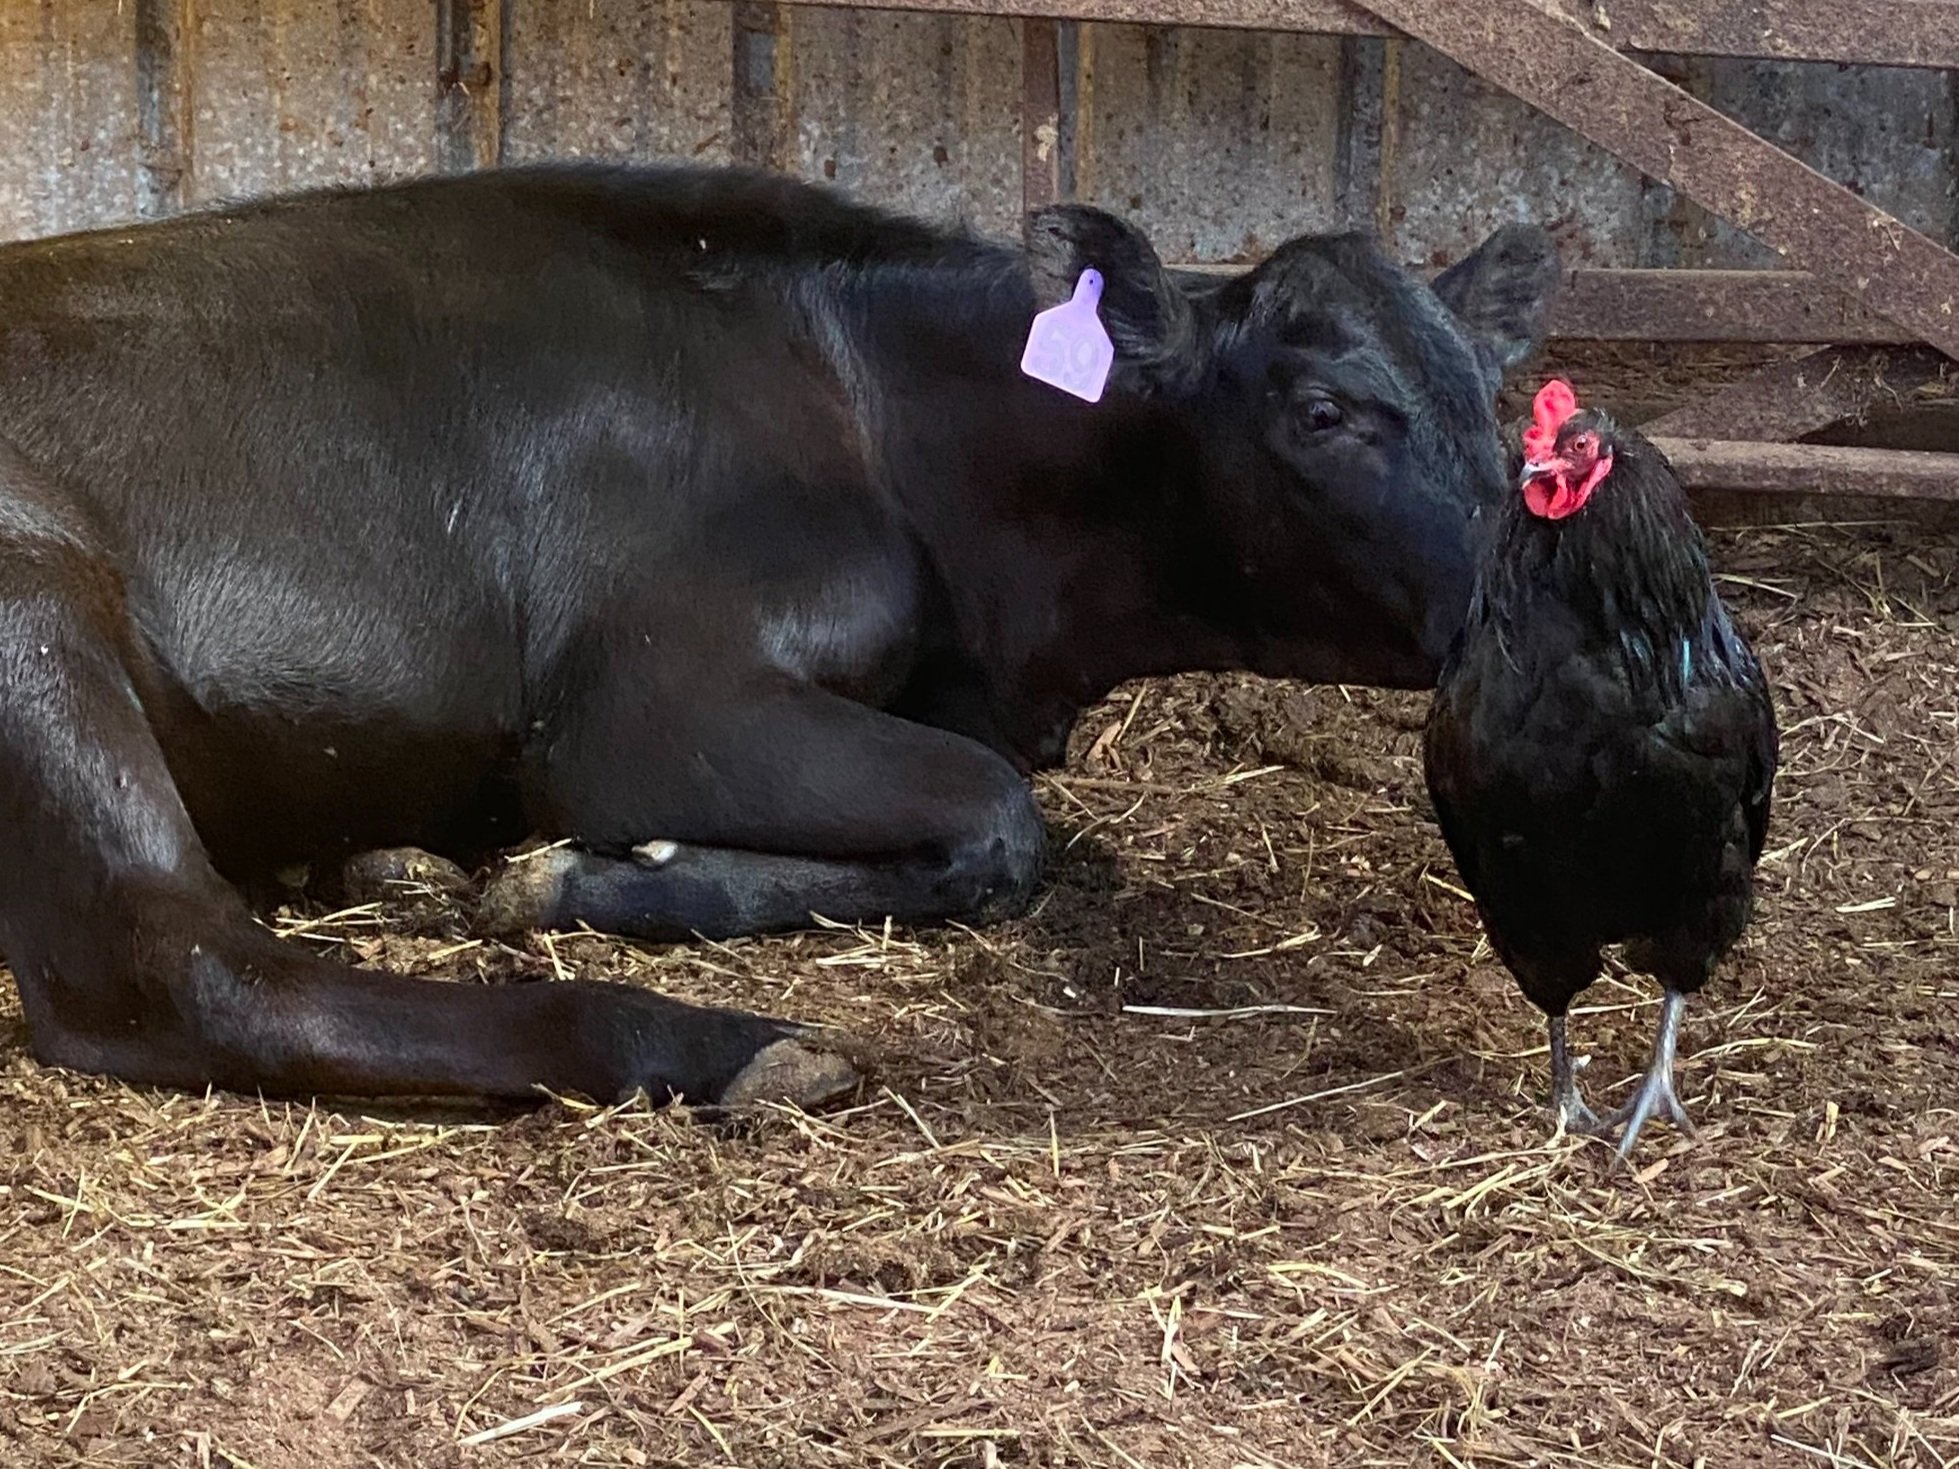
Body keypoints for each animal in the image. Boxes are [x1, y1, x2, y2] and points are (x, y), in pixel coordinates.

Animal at [0, 163, 1557, 1112]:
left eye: (1497, 398)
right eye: (1323, 411)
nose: (1528, 618)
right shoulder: (642, 703)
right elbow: (1001, 817)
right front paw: (571, 875)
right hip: (39, 623)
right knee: (178, 966)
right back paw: (716, 1045)